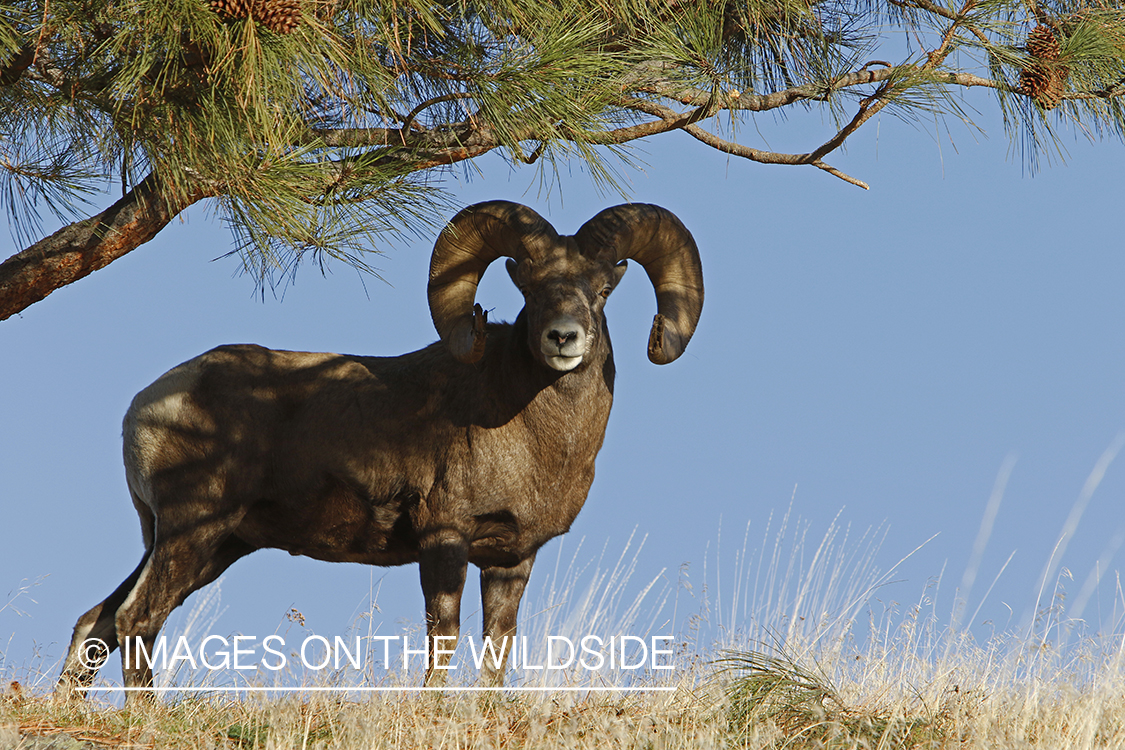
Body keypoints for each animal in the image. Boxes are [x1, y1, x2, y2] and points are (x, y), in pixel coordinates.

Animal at [57, 201, 702, 697]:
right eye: (531, 288)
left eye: (602, 290)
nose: (563, 339)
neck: (529, 433)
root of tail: (146, 406)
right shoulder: (444, 540)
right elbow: (443, 641)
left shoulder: (510, 560)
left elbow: (496, 653)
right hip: (192, 533)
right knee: (138, 618)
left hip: (208, 546)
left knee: (97, 624)